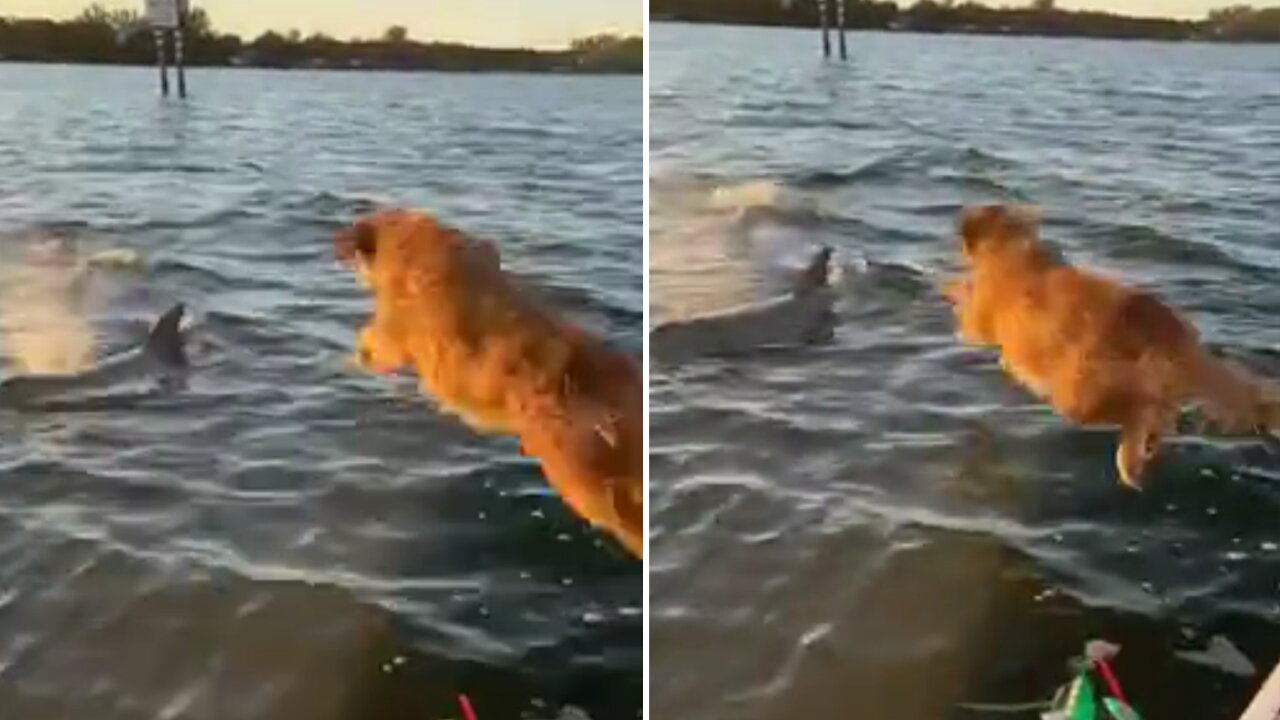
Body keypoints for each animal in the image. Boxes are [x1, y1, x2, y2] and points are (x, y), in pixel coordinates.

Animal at [335, 207, 645, 556]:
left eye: (349, 233)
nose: (334, 242)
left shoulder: (399, 326)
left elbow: (376, 346)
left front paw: (352, 357)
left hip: (573, 471)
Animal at [942, 202, 1280, 486]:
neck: (1012, 252)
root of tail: (1164, 328)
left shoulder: (981, 316)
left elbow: (964, 306)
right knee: (1159, 411)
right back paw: (1146, 448)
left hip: (1079, 395)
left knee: (1141, 408)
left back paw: (1131, 459)